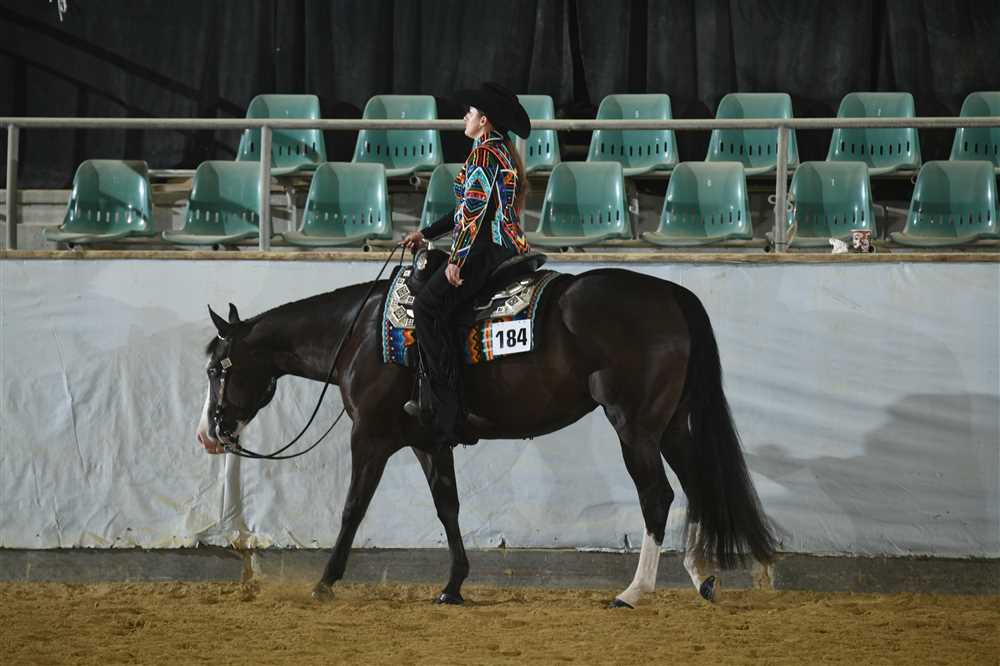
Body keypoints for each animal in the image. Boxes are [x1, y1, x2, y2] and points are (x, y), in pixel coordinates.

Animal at [195, 260, 776, 608]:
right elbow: (447, 506)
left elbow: (353, 508)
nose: (208, 434)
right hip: (669, 426)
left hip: (634, 427)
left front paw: (324, 582)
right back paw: (701, 576)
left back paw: (634, 591)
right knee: (698, 487)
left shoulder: (371, 436)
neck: (359, 337)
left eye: (219, 368)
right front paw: (453, 585)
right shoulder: (429, 441)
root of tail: (671, 293)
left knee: (657, 496)